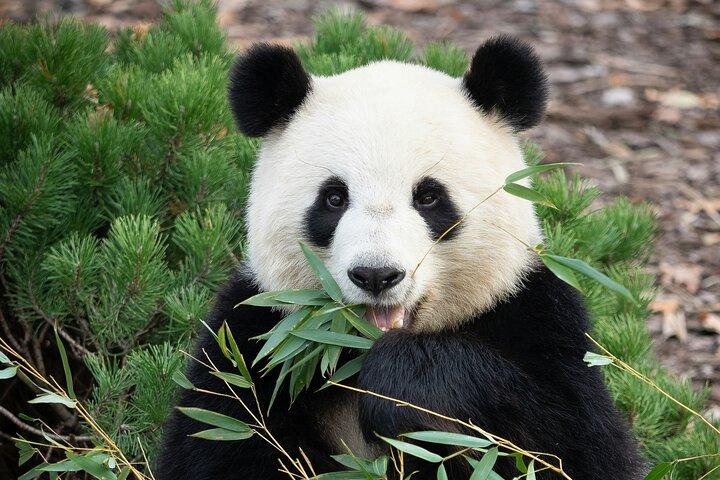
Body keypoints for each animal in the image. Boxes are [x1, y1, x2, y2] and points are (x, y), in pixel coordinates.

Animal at [156, 37, 644, 479]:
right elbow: (218, 441)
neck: (352, 355)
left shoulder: (534, 314)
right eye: (334, 198)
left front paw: (400, 385)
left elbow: (570, 442)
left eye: (428, 197)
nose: (376, 275)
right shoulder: (254, 339)